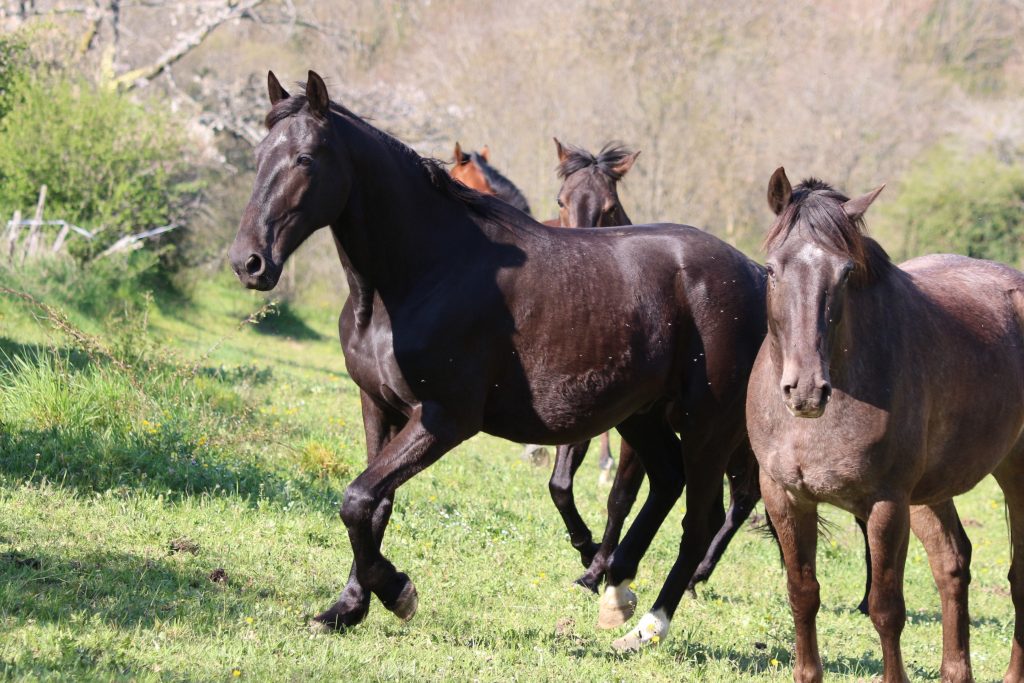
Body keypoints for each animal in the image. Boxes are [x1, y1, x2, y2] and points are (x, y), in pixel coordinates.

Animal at [226, 73, 770, 647]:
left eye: (305, 158)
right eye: (260, 154)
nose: (249, 262)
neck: (424, 272)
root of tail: (757, 275)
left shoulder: (444, 419)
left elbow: (357, 499)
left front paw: (397, 592)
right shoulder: (377, 405)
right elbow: (373, 506)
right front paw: (347, 608)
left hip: (707, 426)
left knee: (702, 520)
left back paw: (648, 625)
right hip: (642, 416)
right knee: (665, 481)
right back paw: (615, 588)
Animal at [745, 165, 1024, 683]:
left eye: (846, 272)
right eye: (771, 269)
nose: (806, 390)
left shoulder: (886, 503)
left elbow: (885, 608)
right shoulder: (785, 495)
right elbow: (802, 594)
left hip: (1013, 472)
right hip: (930, 492)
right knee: (952, 562)